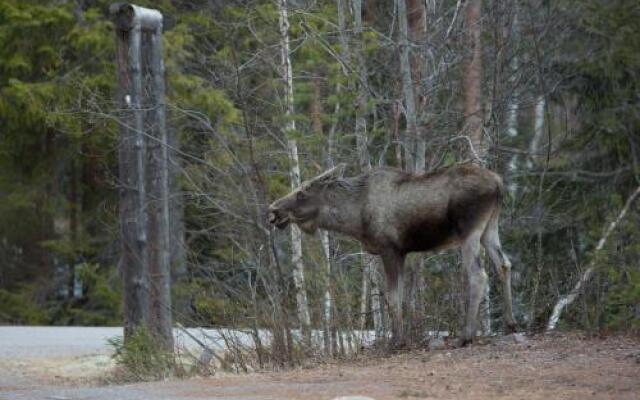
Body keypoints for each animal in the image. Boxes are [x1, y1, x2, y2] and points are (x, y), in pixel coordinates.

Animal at [268, 163, 516, 346]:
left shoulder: (390, 249)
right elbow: (401, 297)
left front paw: (397, 341)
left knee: (478, 275)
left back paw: (467, 335)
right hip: (489, 228)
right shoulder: (400, 253)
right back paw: (510, 325)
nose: (273, 210)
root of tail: (499, 184)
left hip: (469, 231)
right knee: (504, 265)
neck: (354, 218)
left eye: (302, 193)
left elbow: (392, 297)